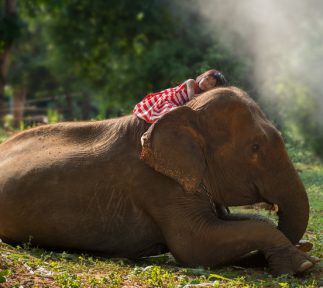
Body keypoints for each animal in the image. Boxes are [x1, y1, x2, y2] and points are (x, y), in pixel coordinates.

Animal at [0, 86, 318, 274]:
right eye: (254, 148)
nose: (304, 248)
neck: (184, 111)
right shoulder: (156, 185)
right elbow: (195, 246)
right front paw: (303, 263)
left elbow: (241, 222)